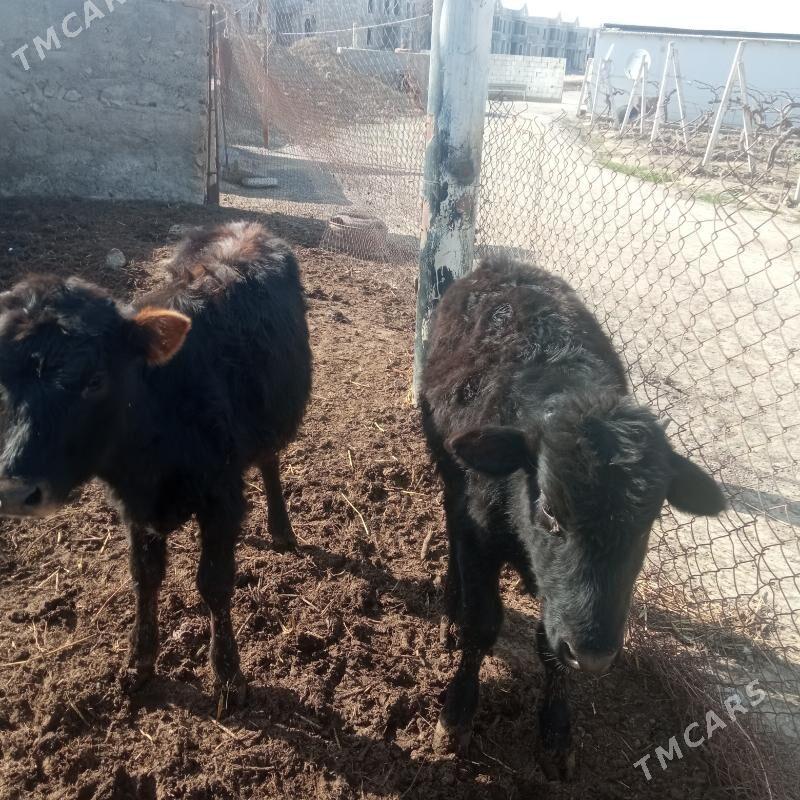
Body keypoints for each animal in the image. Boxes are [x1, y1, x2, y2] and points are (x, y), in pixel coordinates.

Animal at [0, 221, 312, 712]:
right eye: (3, 380)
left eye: (94, 380)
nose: (15, 491)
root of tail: (246, 226)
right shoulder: (135, 508)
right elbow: (144, 579)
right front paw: (139, 664)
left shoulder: (222, 496)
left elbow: (214, 582)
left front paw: (228, 676)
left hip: (273, 417)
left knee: (270, 463)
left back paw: (281, 530)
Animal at [419, 255, 725, 778]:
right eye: (548, 509)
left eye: (650, 520)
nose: (594, 655)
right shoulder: (478, 536)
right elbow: (481, 623)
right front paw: (454, 717)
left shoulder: (560, 606)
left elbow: (549, 646)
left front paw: (557, 733)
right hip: (447, 472)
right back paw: (450, 608)